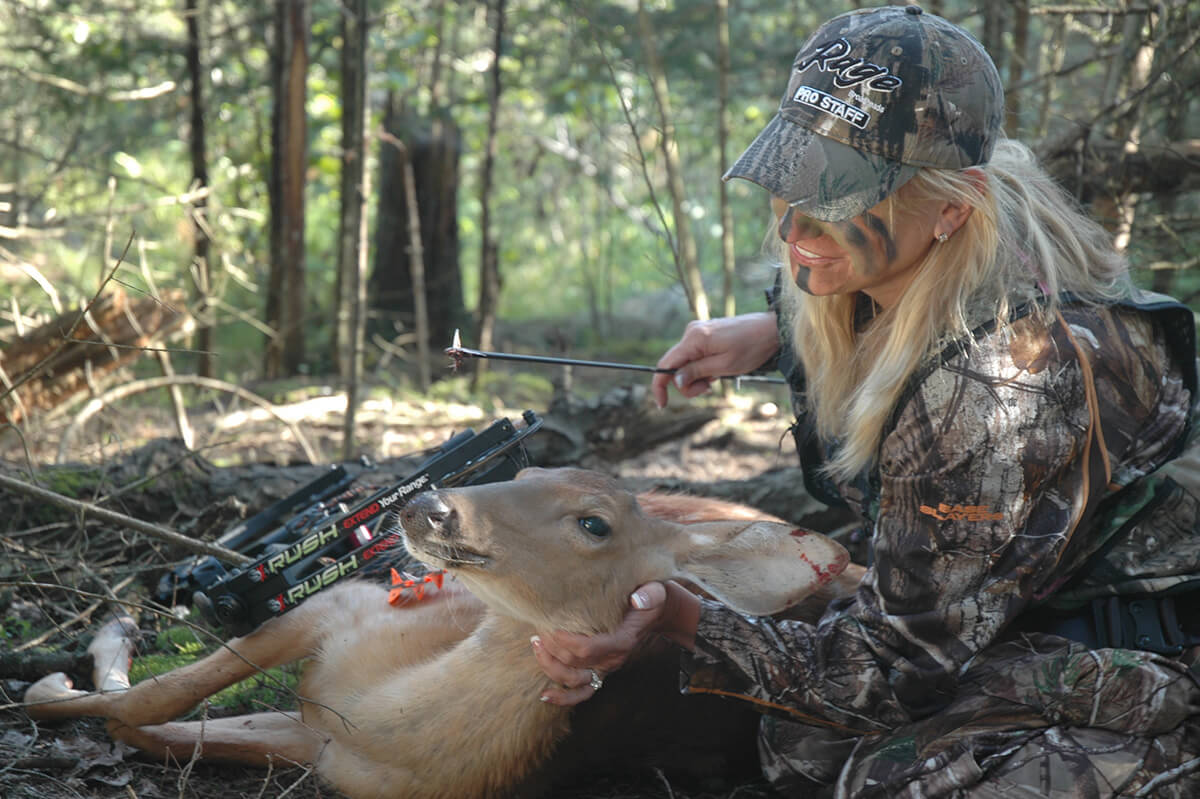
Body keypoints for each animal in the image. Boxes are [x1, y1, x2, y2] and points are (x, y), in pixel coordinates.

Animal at [21, 467, 864, 796]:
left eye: (594, 523)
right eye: (525, 474)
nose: (429, 506)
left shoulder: (322, 720)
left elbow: (138, 716)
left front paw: (60, 673)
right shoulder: (331, 632)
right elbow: (155, 709)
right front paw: (71, 668)